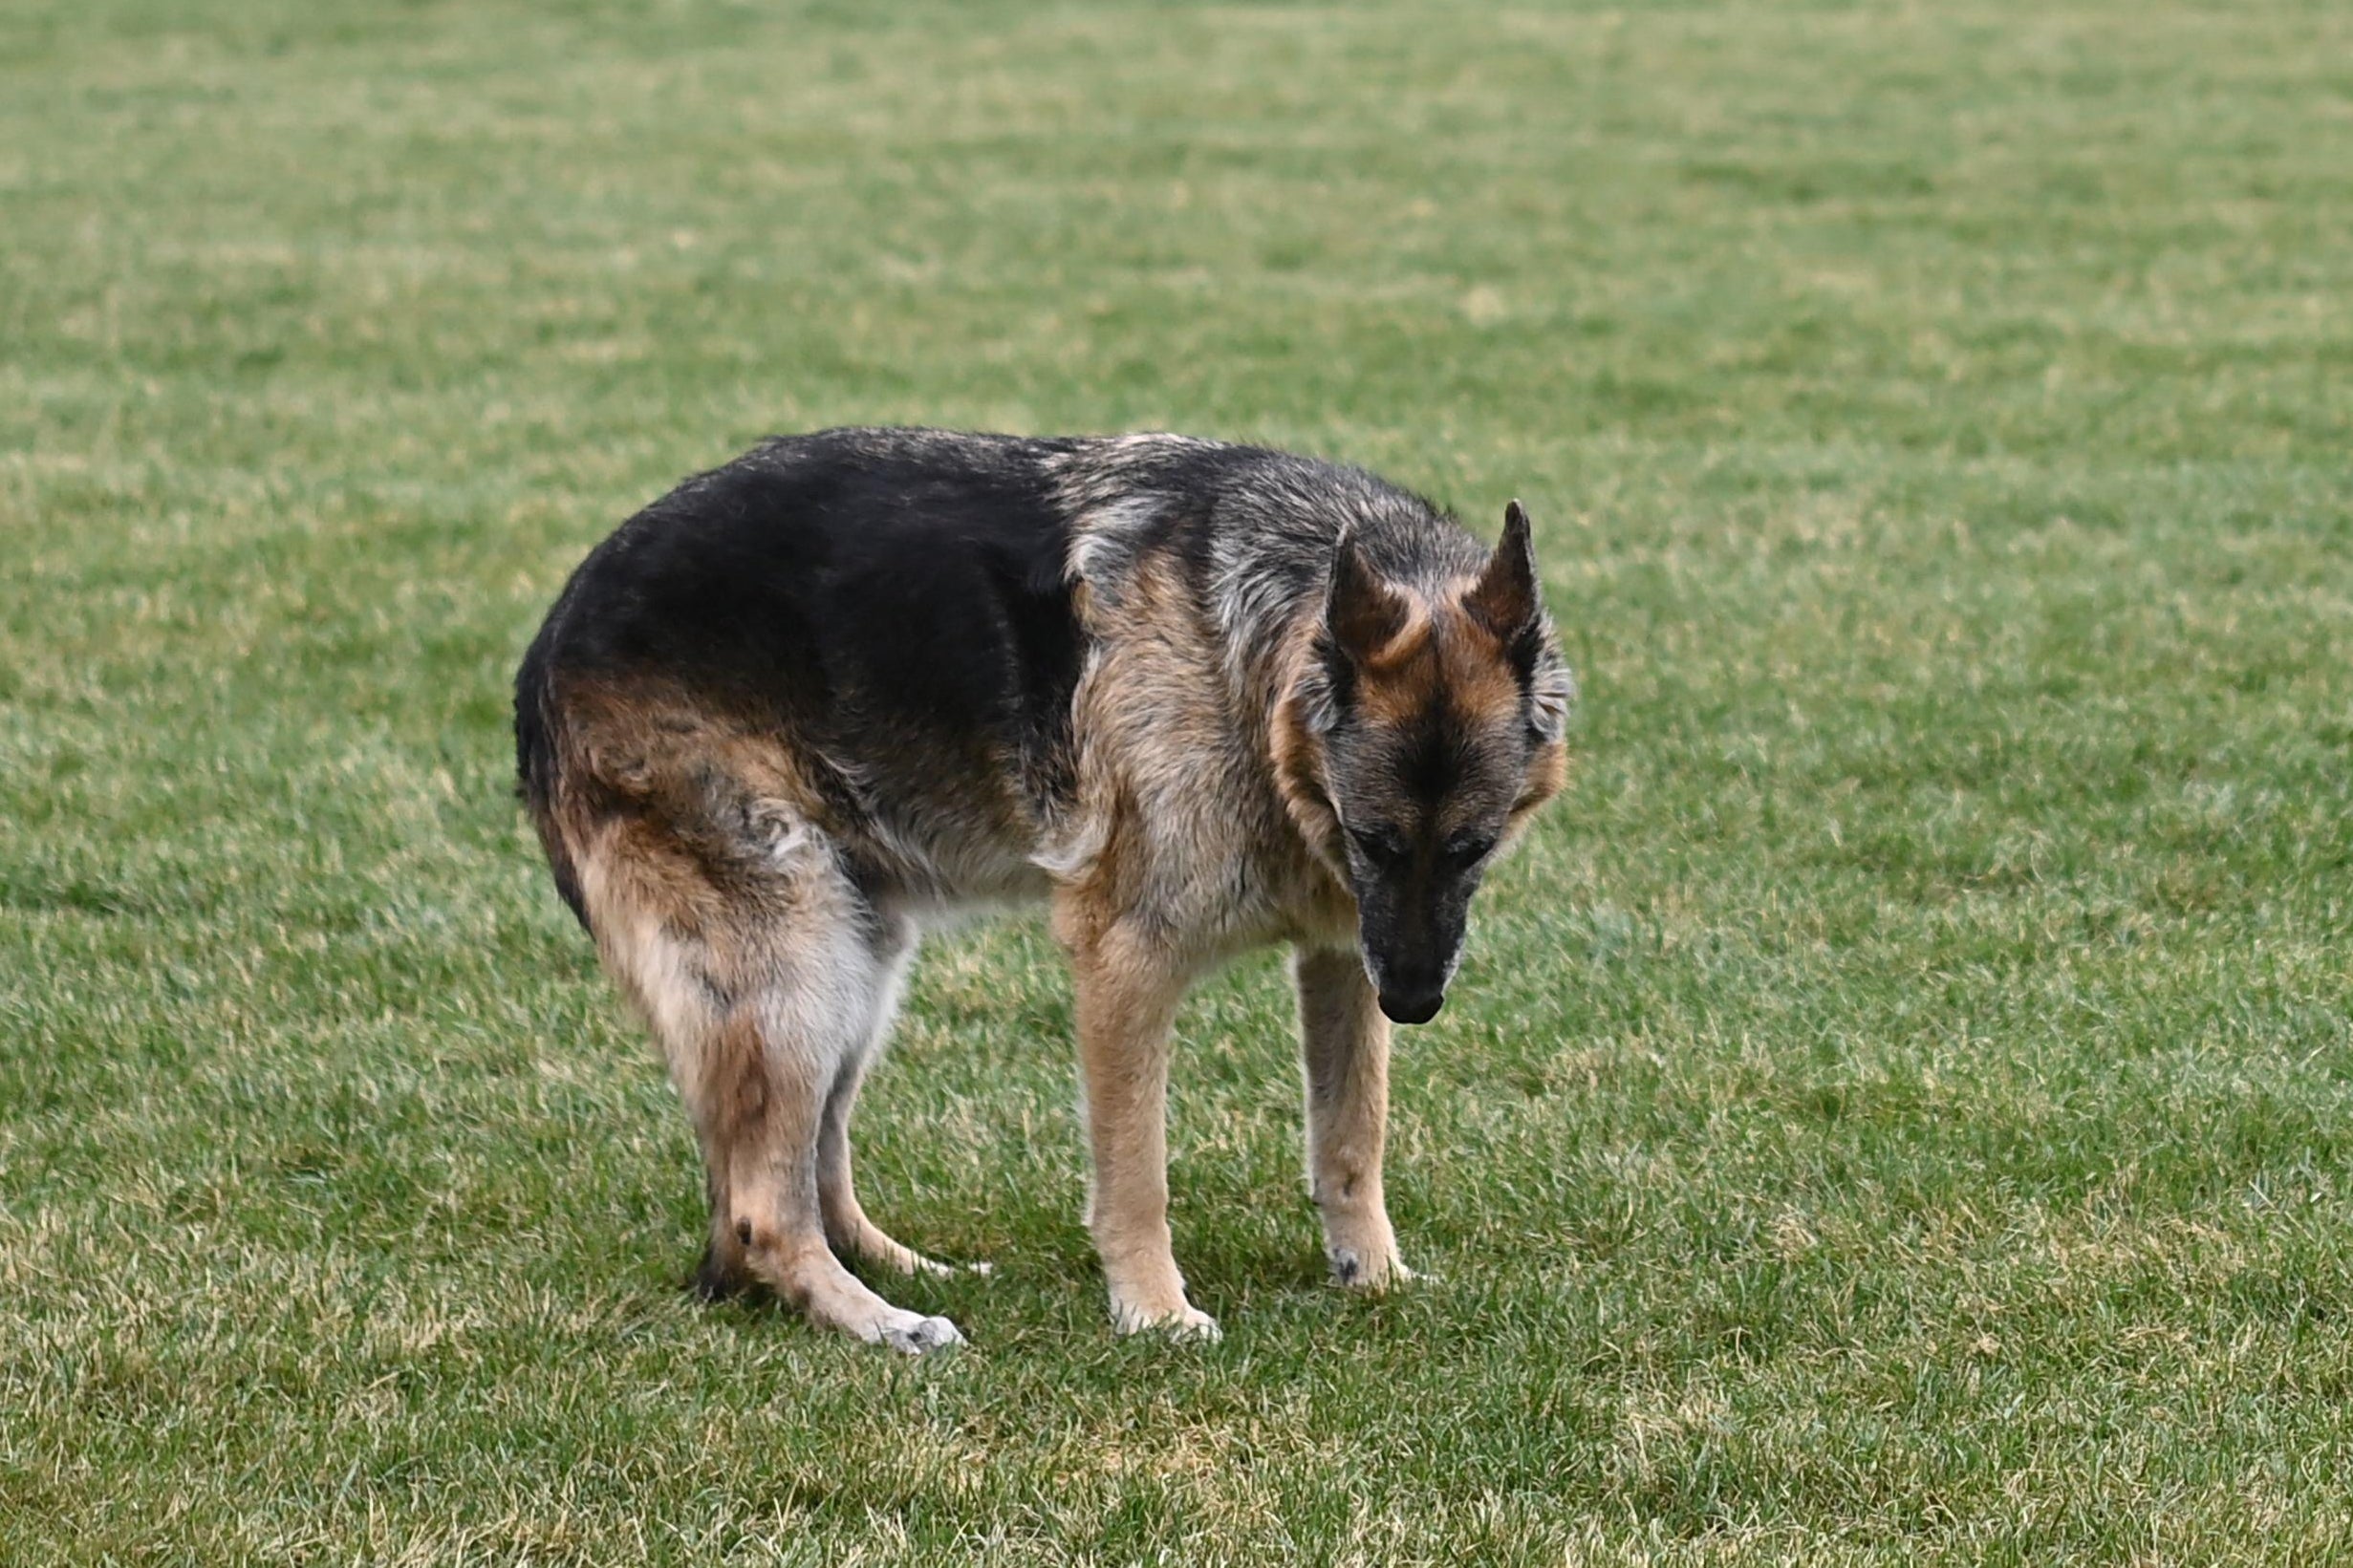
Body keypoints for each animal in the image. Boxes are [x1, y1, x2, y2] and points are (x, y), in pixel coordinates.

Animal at [525, 425, 1571, 1354]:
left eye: (1475, 846)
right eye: (1371, 839)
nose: (1416, 1002)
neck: (1244, 658)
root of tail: (543, 652)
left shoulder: (1343, 955)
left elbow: (1352, 1135)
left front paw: (1374, 1276)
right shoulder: (1126, 963)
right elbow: (1136, 1171)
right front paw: (1154, 1312)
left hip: (859, 966)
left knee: (812, 1170)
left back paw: (904, 1272)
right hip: (799, 966)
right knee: (759, 1211)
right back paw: (881, 1324)